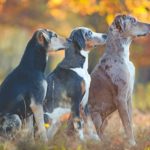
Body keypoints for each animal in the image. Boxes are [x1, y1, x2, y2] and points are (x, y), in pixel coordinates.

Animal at [88, 14, 150, 146]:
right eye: (133, 21)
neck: (121, 55)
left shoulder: (129, 98)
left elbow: (130, 121)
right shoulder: (121, 98)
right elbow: (126, 124)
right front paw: (132, 144)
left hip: (105, 120)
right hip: (95, 116)